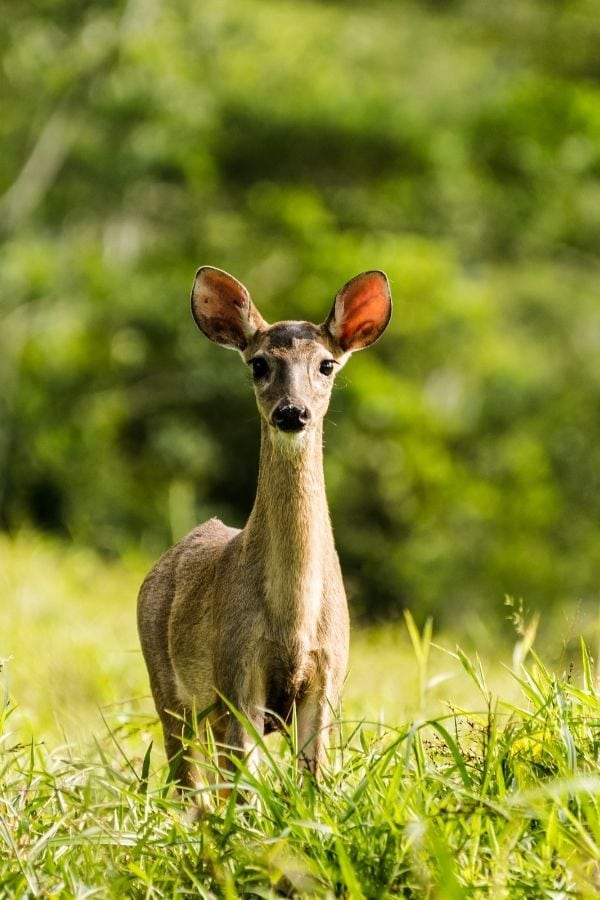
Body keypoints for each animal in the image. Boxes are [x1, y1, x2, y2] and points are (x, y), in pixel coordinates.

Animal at [135, 268, 394, 796]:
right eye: (258, 364)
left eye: (326, 365)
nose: (292, 412)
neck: (294, 621)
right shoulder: (237, 670)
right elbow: (246, 785)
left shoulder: (329, 673)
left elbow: (313, 778)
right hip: (166, 684)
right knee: (186, 775)